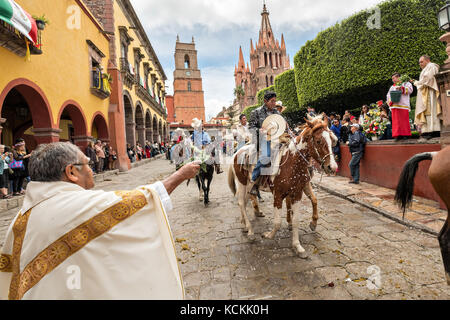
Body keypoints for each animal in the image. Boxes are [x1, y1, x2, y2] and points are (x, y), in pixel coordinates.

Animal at [229, 116, 338, 258]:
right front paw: (269, 235)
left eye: (333, 140)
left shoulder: (297, 193)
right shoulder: (278, 194)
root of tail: (238, 152)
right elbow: (277, 222)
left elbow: (297, 218)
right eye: (319, 141)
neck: (291, 162)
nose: (333, 167)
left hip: (249, 185)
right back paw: (251, 231)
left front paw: (298, 246)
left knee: (246, 201)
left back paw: (245, 225)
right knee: (241, 203)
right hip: (242, 183)